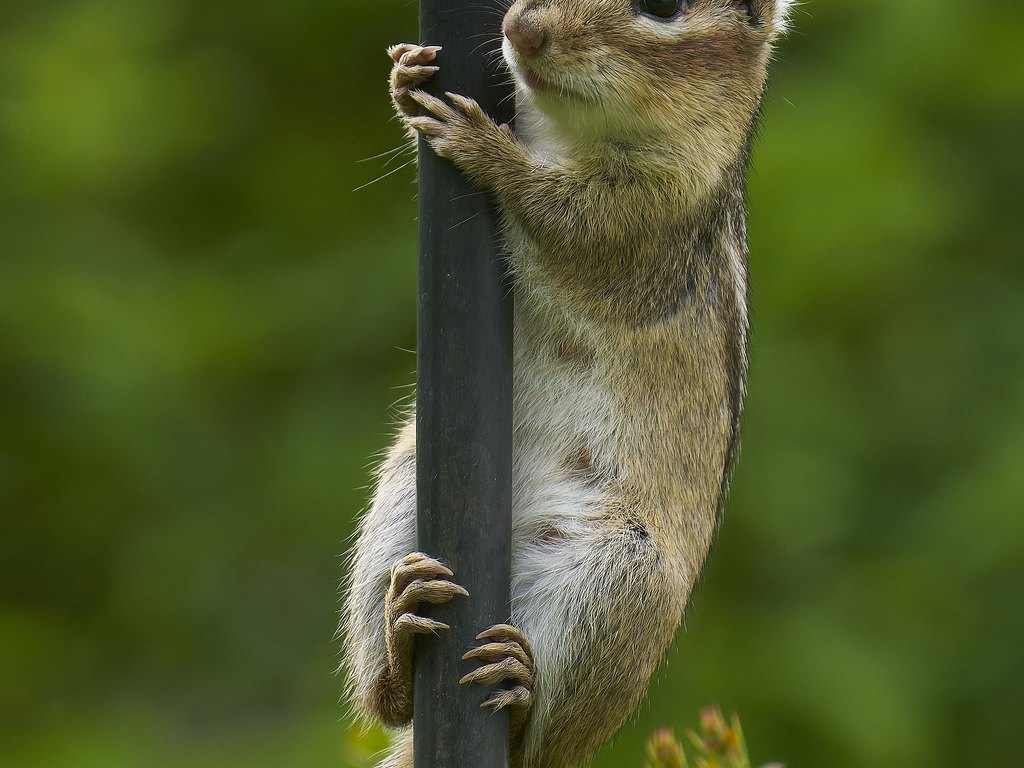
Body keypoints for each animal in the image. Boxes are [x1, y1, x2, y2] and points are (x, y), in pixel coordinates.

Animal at [343, 1, 791, 766]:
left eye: (664, 8)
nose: (523, 28)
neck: (564, 127)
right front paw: (405, 77)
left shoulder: (641, 217)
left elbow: (561, 218)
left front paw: (484, 149)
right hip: (400, 506)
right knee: (385, 699)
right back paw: (402, 631)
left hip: (624, 580)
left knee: (532, 741)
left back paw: (518, 687)